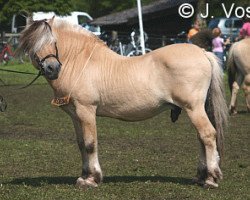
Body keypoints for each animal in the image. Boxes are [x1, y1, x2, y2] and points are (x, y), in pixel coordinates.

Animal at [17, 18, 229, 188]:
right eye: (32, 46)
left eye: (53, 42)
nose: (52, 68)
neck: (80, 62)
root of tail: (202, 53)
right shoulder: (75, 115)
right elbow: (81, 144)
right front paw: (83, 176)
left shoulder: (86, 111)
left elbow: (90, 144)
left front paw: (91, 179)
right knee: (201, 138)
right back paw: (201, 177)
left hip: (194, 108)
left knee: (208, 135)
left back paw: (211, 179)